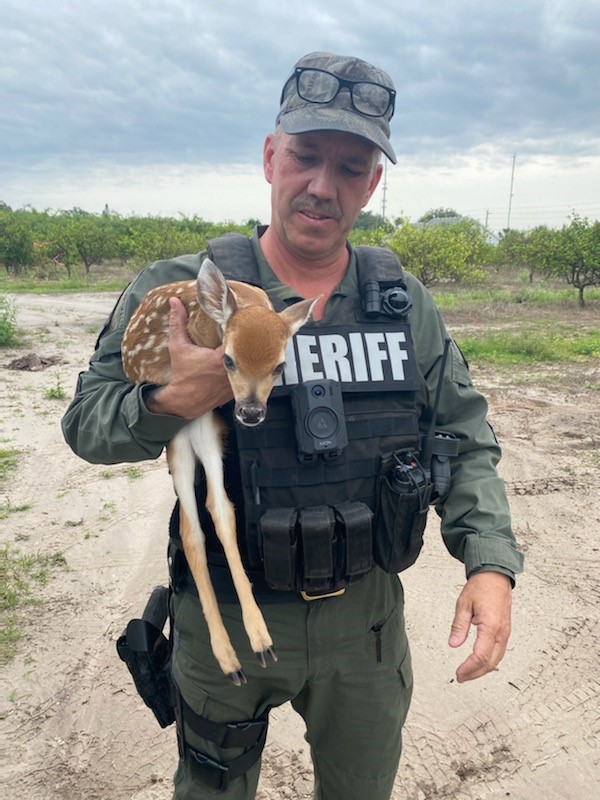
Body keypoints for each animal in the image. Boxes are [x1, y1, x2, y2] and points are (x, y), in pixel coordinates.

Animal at [122, 259, 316, 685]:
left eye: (280, 365)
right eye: (228, 360)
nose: (251, 412)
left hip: (205, 426)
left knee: (217, 509)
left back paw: (254, 644)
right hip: (180, 427)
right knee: (191, 527)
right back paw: (234, 657)